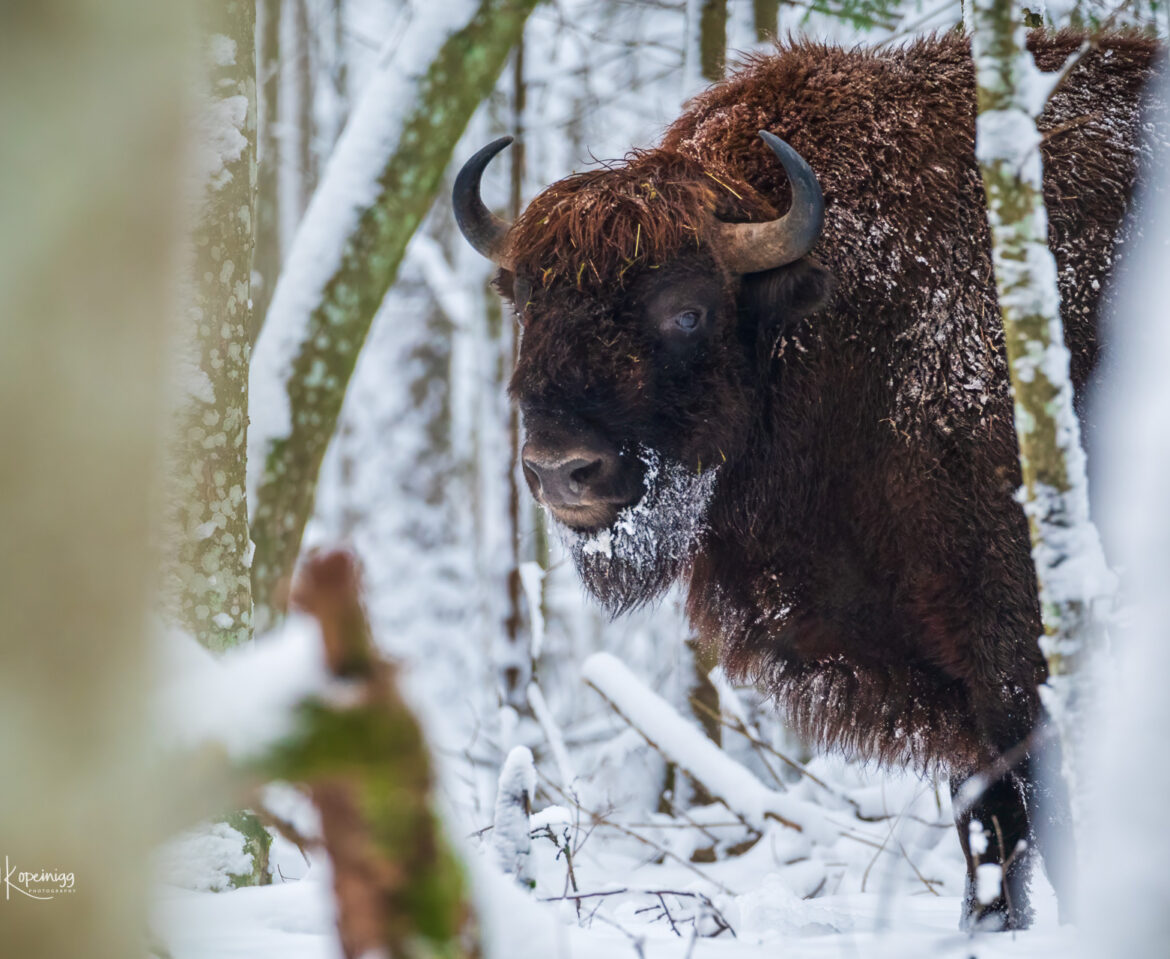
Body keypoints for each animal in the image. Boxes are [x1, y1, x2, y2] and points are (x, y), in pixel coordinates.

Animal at [453, 29, 1160, 930]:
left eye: (687, 310)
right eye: (525, 304)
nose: (560, 468)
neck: (841, 320)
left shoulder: (1013, 647)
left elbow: (1026, 815)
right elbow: (984, 827)